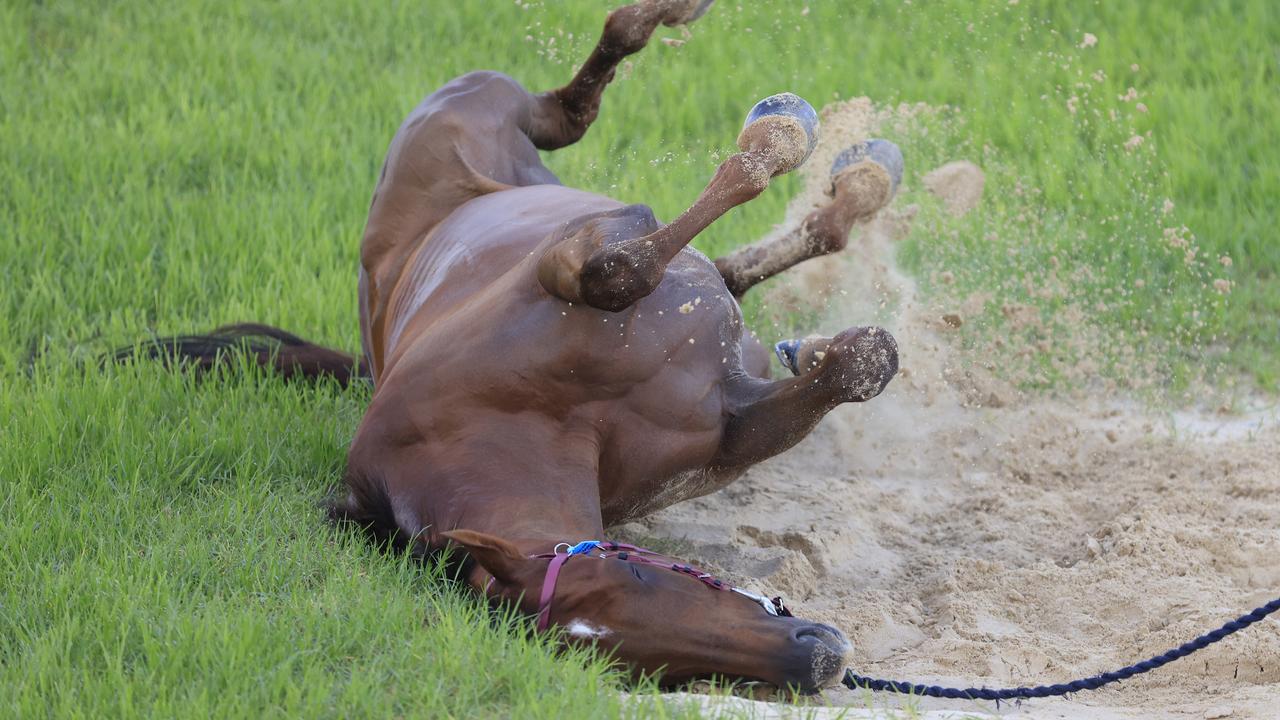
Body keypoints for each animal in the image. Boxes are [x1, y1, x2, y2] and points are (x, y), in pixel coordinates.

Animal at [132, 0, 901, 691]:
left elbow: (626, 267)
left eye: (634, 569)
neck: (535, 413)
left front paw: (777, 144)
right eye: (631, 664)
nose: (818, 660)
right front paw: (836, 346)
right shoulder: (734, 427)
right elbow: (854, 368)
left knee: (578, 101)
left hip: (490, 102)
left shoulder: (581, 251)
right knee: (616, 152)